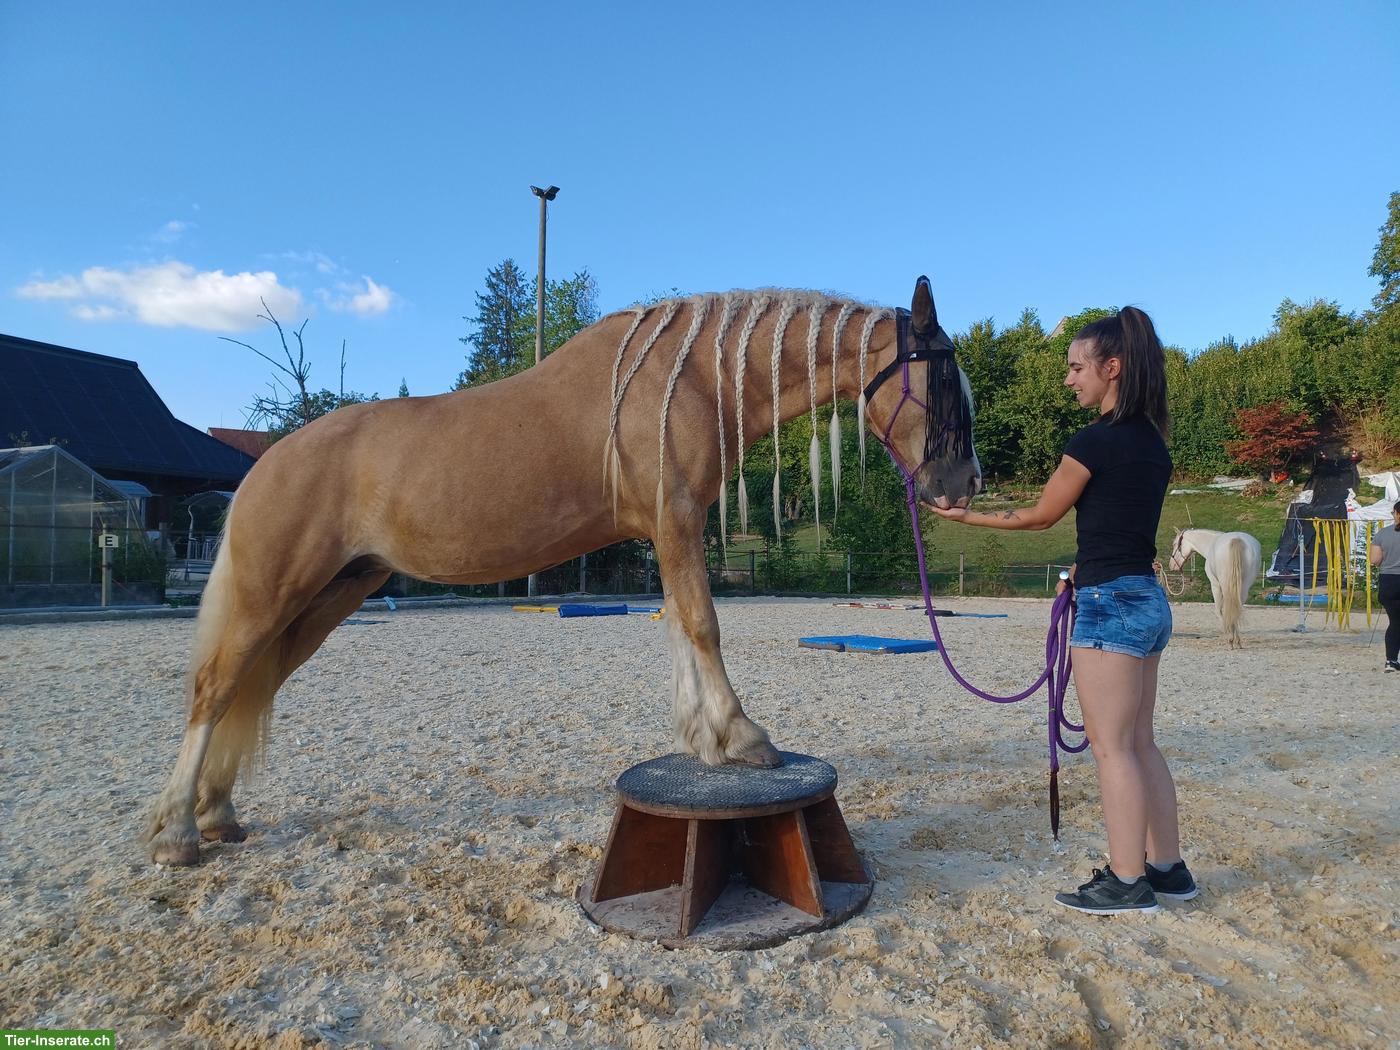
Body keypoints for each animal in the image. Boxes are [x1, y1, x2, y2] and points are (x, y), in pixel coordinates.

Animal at [145, 276, 983, 865]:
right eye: (942, 384)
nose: (963, 484)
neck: (686, 379)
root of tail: (270, 462)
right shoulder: (675, 521)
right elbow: (703, 624)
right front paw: (743, 738)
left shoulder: (665, 532)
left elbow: (679, 627)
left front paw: (704, 741)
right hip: (276, 591)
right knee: (216, 687)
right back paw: (178, 832)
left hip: (330, 596)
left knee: (255, 682)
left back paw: (218, 814)